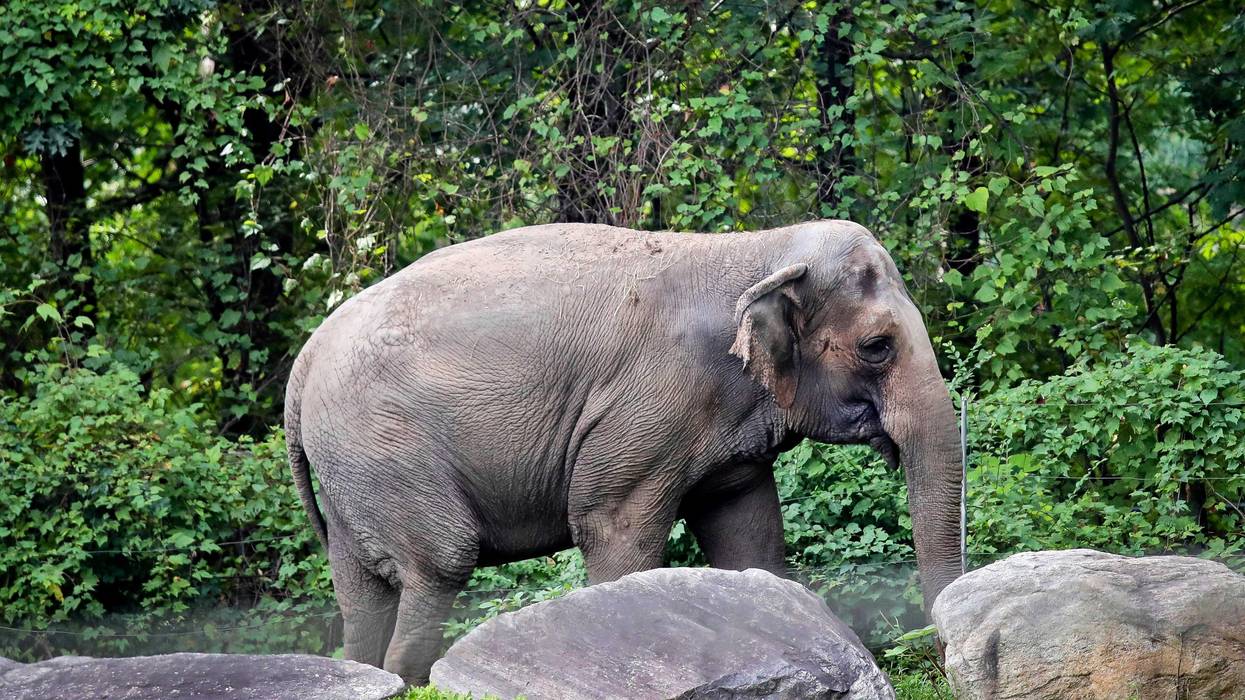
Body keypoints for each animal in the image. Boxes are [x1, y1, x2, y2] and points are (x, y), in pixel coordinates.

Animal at [284, 220, 963, 684]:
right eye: (876, 347)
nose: (938, 654)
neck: (758, 249)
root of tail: (304, 361)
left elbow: (750, 537)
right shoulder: (649, 407)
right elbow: (613, 528)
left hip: (350, 470)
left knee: (361, 592)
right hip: (385, 448)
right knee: (440, 563)